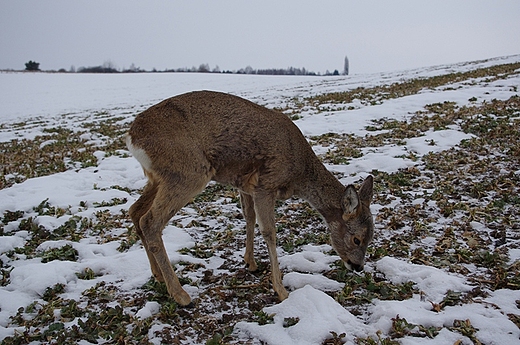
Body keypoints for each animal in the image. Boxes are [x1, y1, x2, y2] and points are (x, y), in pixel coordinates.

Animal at [126, 90, 374, 306]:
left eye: (371, 238)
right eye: (357, 239)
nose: (358, 266)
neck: (298, 173)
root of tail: (132, 137)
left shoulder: (246, 186)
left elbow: (249, 217)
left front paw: (251, 262)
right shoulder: (266, 184)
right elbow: (269, 231)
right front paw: (281, 290)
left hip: (160, 177)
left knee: (135, 212)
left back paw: (158, 276)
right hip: (189, 172)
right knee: (150, 221)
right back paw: (181, 295)